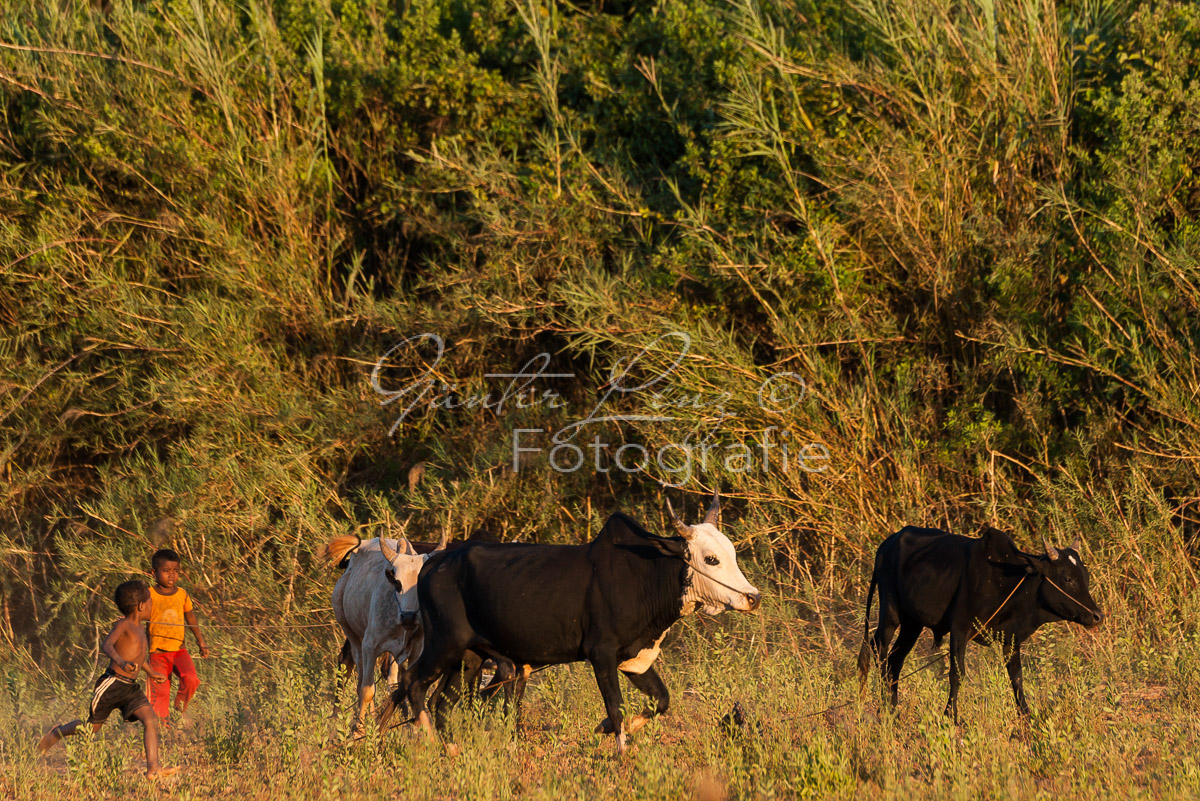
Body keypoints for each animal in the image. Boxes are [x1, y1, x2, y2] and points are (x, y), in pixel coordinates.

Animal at [403, 491, 758, 753]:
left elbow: (660, 699)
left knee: (441, 703)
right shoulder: (601, 653)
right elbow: (616, 706)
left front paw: (606, 728)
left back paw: (452, 751)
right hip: (443, 645)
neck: (646, 574)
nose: (752, 597)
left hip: (469, 657)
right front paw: (621, 753)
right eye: (711, 559)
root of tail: (435, 561)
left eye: (732, 554)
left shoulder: (634, 659)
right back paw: (428, 742)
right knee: (414, 684)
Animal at [859, 525, 1099, 719]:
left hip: (913, 623)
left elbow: (1017, 677)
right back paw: (884, 707)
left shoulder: (1010, 638)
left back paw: (893, 708)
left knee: (895, 660)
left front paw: (1026, 716)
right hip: (890, 611)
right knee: (879, 649)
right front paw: (951, 716)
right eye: (1067, 578)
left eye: (1085, 577)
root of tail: (887, 544)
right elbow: (957, 674)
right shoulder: (959, 628)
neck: (1007, 580)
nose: (1097, 615)